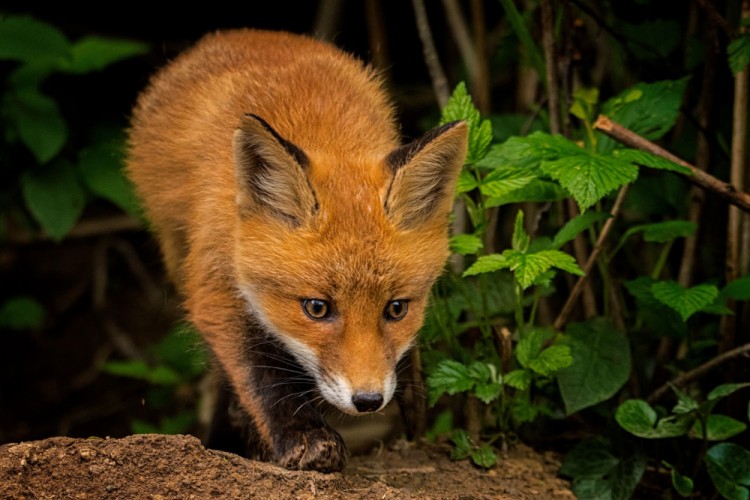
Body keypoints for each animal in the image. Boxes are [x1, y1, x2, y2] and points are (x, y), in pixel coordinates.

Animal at [128, 29, 470, 470]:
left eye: (397, 309)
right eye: (317, 308)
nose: (368, 400)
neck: (321, 133)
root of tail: (247, 34)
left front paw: (410, 388)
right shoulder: (214, 282)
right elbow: (258, 374)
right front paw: (302, 438)